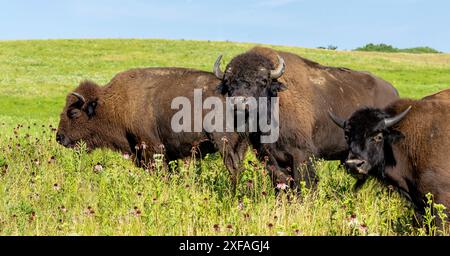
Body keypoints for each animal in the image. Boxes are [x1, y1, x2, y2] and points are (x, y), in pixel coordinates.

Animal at [213, 46, 400, 187]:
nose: (239, 103)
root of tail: (394, 92)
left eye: (263, 81)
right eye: (228, 82)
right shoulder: (269, 157)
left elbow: (305, 183)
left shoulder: (301, 155)